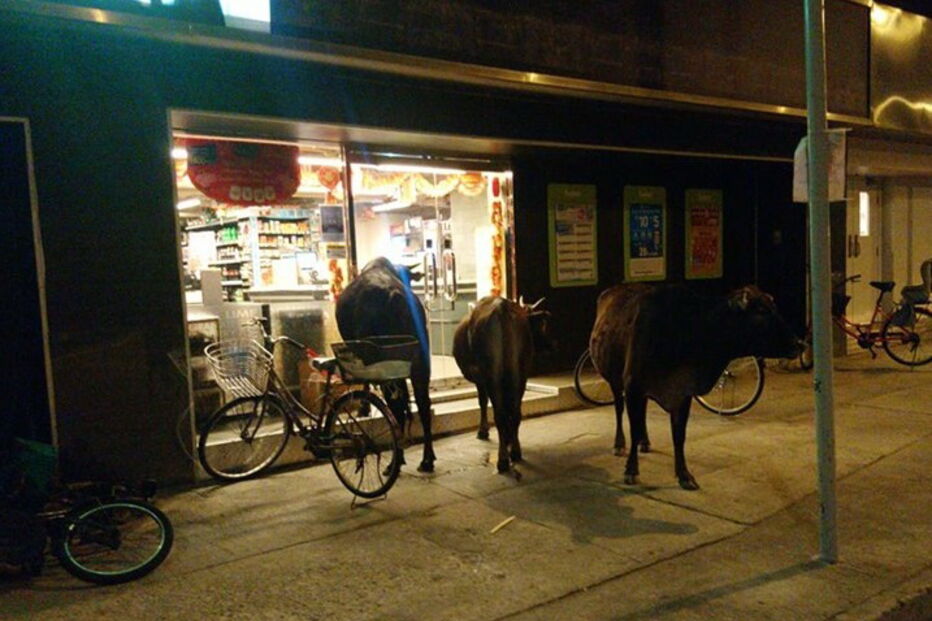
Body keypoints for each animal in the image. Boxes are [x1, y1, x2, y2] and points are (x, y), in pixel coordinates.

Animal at [335, 257, 436, 472]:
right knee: (422, 404)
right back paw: (427, 459)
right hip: (420, 363)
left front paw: (363, 407)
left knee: (396, 408)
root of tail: (395, 296)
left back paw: (396, 462)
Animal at [452, 296, 551, 474]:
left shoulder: (481, 379)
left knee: (500, 415)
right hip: (520, 375)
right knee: (515, 413)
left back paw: (503, 459)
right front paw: (509, 439)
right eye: (542, 326)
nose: (551, 346)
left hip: (493, 376)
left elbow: (483, 402)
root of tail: (502, 308)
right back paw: (515, 451)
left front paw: (484, 431)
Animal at [589, 283, 802, 490]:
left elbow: (679, 435)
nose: (799, 344)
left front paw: (684, 475)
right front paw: (631, 470)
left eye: (773, 306)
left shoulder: (683, 393)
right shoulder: (634, 387)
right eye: (761, 311)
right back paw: (619, 443)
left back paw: (645, 441)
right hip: (614, 380)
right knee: (619, 409)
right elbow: (633, 428)